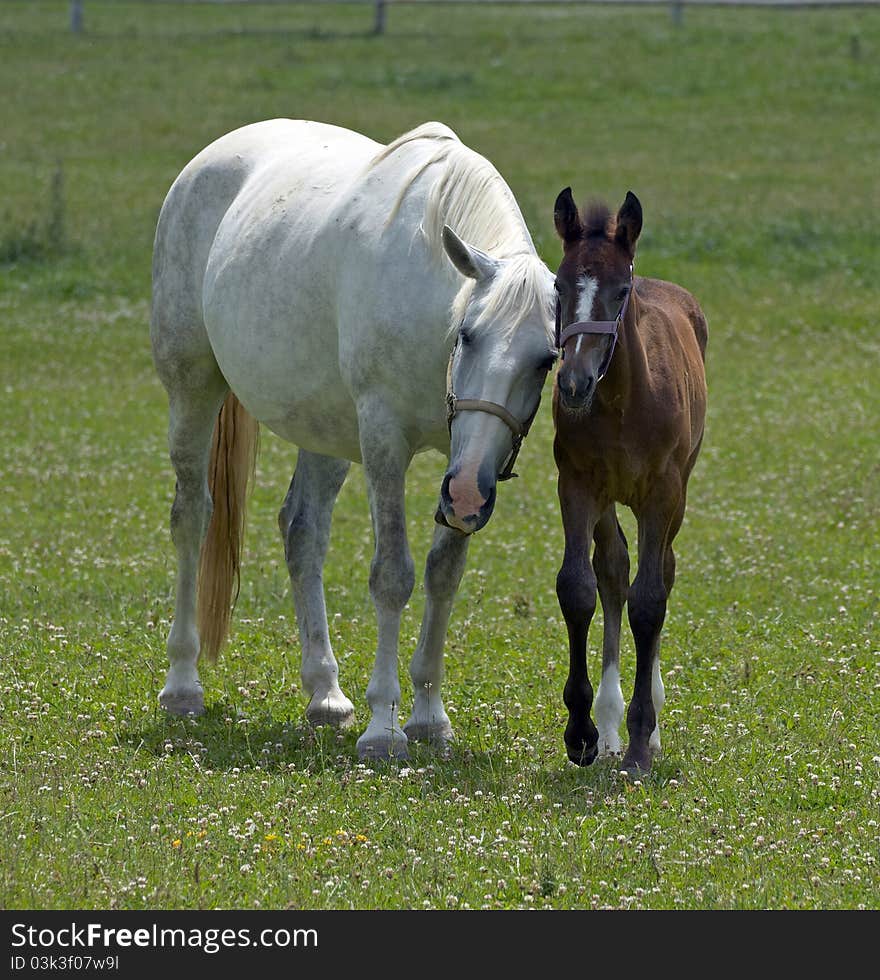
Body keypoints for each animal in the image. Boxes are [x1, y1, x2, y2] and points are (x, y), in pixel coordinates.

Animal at [148, 120, 552, 756]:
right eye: (468, 333)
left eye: (546, 360)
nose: (467, 493)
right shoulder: (384, 441)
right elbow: (392, 576)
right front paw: (384, 727)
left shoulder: (465, 462)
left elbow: (443, 574)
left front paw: (429, 716)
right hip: (192, 388)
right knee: (192, 517)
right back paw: (183, 685)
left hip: (327, 431)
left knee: (303, 534)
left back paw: (325, 693)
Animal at [552, 189, 708, 772]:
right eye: (559, 285)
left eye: (621, 291)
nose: (573, 383)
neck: (620, 400)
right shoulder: (577, 485)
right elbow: (578, 588)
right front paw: (582, 732)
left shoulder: (661, 494)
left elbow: (649, 601)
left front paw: (642, 741)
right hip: (606, 500)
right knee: (613, 569)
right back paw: (608, 723)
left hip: (676, 494)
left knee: (661, 569)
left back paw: (646, 726)